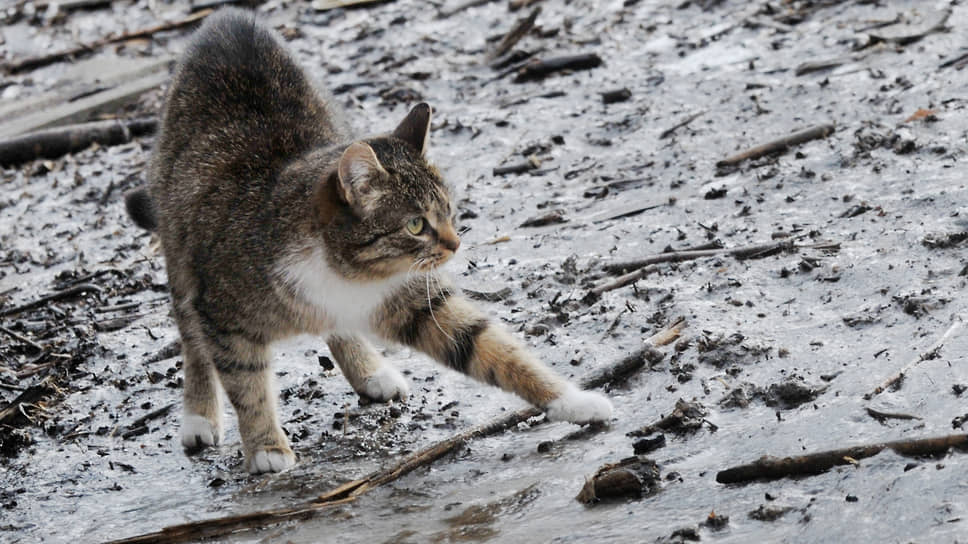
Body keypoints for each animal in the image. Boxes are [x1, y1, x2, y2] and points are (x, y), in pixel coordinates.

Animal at [125, 9, 608, 476]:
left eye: (449, 211)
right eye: (415, 225)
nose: (455, 245)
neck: (346, 273)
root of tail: (226, 19)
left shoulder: (415, 297)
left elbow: (488, 346)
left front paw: (572, 400)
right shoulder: (222, 312)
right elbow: (247, 384)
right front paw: (265, 447)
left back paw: (369, 369)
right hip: (180, 254)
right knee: (191, 336)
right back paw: (199, 414)